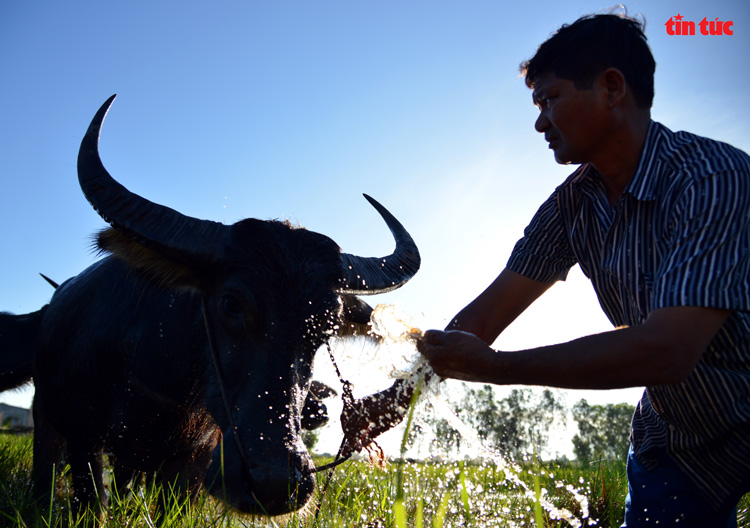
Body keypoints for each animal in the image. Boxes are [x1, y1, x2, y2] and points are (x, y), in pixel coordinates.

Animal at [4, 96, 418, 520]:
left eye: (327, 326)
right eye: (231, 303)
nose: (275, 483)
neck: (155, 367)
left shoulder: (192, 460)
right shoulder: (84, 435)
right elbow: (92, 502)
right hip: (48, 417)